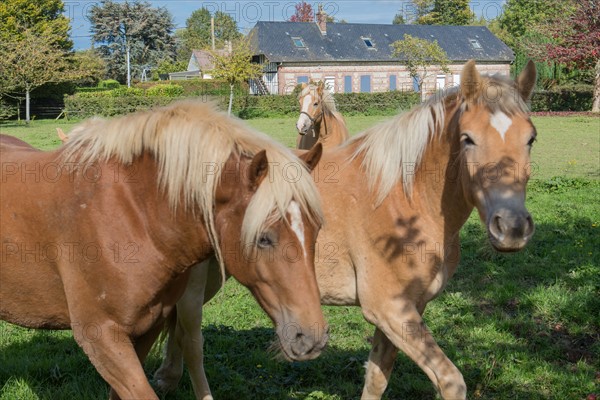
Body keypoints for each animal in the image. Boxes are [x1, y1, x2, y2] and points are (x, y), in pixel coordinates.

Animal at [0, 101, 328, 400]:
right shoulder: (101, 335)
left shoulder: (149, 326)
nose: (311, 337)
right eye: (263, 238)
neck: (133, 213)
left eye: (316, 230)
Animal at [155, 60, 540, 400]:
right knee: (192, 343)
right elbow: (450, 381)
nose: (511, 226)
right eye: (468, 139)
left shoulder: (405, 311)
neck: (403, 198)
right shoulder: (388, 309)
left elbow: (377, 379)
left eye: (531, 138)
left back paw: (166, 376)